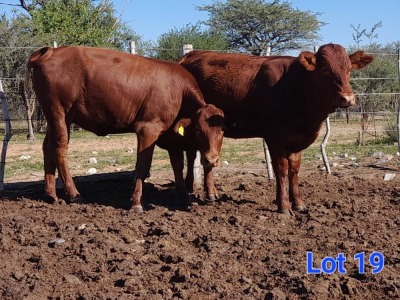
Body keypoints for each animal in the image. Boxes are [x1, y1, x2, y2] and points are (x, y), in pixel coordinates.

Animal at [25, 45, 225, 212]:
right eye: (198, 129)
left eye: (222, 131)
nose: (211, 160)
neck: (178, 90)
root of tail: (52, 51)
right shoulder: (147, 130)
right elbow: (142, 167)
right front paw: (136, 202)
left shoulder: (171, 136)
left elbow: (177, 166)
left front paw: (185, 198)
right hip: (59, 112)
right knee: (60, 148)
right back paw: (74, 194)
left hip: (56, 117)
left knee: (48, 147)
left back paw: (51, 195)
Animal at [180, 43, 374, 214]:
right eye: (325, 69)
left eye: (349, 70)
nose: (347, 98)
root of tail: (191, 54)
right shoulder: (275, 137)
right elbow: (281, 169)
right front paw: (284, 206)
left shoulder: (297, 140)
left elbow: (294, 169)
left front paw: (298, 203)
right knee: (193, 154)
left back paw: (211, 193)